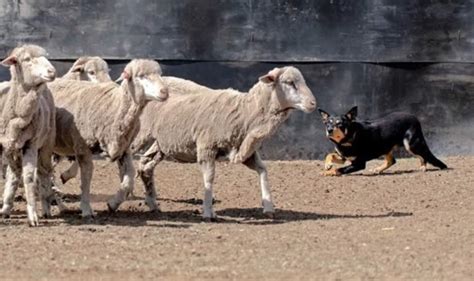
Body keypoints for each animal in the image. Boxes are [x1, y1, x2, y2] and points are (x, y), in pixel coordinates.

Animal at [0, 45, 57, 225]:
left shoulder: (30, 144)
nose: (52, 71)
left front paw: (33, 215)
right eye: (27, 59)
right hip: (12, 149)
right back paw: (5, 208)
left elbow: (30, 178)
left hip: (46, 144)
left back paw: (46, 209)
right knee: (14, 174)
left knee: (43, 173)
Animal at [45, 58, 168, 217]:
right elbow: (86, 179)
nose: (165, 91)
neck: (114, 107)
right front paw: (86, 209)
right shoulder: (82, 147)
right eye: (141, 76)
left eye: (160, 74)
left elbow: (129, 180)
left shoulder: (123, 148)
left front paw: (113, 204)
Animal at [132, 66, 318, 219]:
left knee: (145, 166)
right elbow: (209, 178)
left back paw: (153, 204)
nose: (313, 104)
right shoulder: (206, 146)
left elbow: (263, 170)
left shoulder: (245, 151)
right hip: (140, 134)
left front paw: (268, 206)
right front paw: (208, 212)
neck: (246, 111)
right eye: (289, 82)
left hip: (162, 143)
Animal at [318, 106, 448, 175]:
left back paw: (423, 167)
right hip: (385, 147)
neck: (348, 139)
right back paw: (378, 169)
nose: (329, 130)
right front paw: (327, 165)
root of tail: (414, 118)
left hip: (411, 145)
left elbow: (339, 169)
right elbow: (330, 155)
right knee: (392, 161)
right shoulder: (343, 157)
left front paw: (328, 172)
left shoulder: (359, 163)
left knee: (424, 155)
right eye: (327, 123)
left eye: (339, 124)